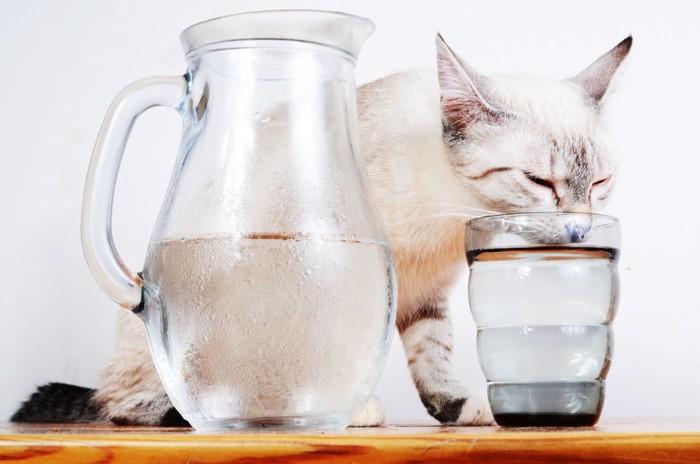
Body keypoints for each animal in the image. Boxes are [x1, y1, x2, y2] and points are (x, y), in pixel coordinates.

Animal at [10, 32, 636, 426]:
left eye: (601, 185)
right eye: (541, 183)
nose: (578, 231)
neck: (445, 216)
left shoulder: (422, 296)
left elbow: (432, 357)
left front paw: (459, 411)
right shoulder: (335, 267)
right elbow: (335, 351)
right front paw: (344, 410)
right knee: (126, 404)